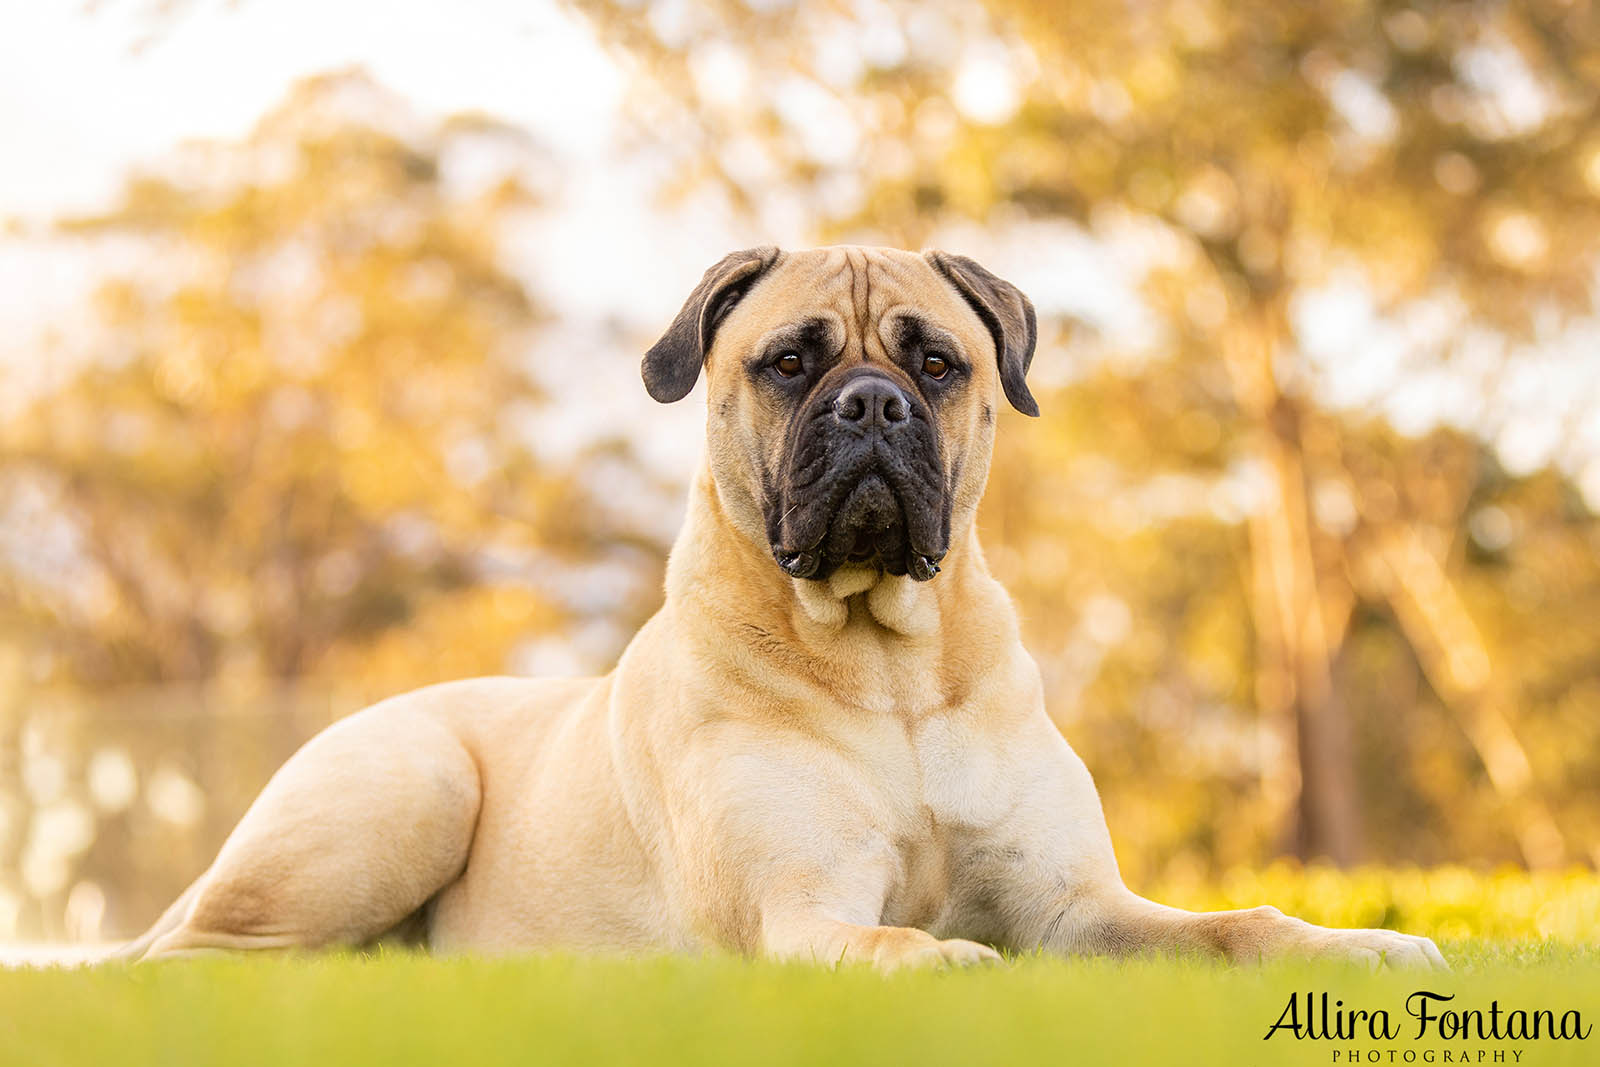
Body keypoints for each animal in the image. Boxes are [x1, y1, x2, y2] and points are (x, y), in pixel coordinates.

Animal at [121, 246, 1452, 972]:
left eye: (935, 363)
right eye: (790, 362)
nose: (870, 406)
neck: (886, 666)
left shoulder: (1079, 909)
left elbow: (1239, 922)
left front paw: (1358, 945)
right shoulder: (801, 899)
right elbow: (873, 935)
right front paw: (935, 960)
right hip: (407, 786)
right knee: (189, 964)